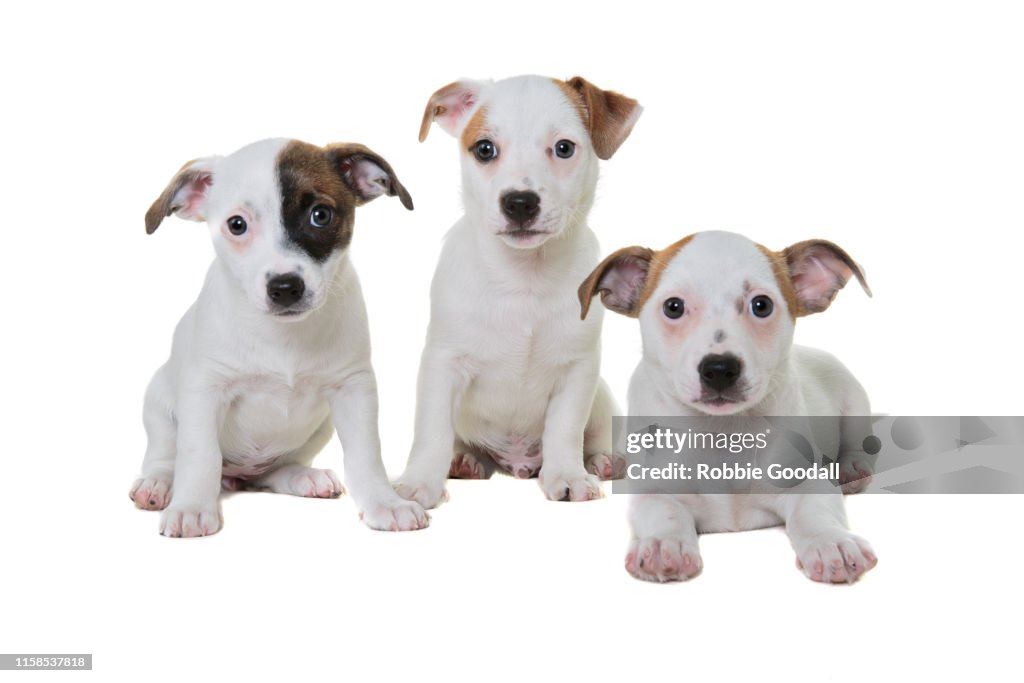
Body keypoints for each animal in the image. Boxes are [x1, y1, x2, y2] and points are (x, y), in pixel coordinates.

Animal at [131, 136, 428, 536]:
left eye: (320, 215)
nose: (285, 287)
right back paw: (157, 485)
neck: (282, 335)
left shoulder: (354, 388)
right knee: (166, 456)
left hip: (318, 428)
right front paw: (191, 506)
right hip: (159, 407)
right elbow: (199, 455)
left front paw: (385, 503)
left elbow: (366, 455)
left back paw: (302, 476)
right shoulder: (205, 390)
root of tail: (236, 475)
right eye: (237, 225)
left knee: (270, 474)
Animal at [395, 77, 643, 509]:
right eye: (484, 149)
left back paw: (602, 460)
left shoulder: (578, 370)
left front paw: (567, 474)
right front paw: (420, 481)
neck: (524, 276)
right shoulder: (442, 364)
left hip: (601, 397)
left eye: (564, 148)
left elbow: (565, 428)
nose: (520, 202)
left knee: (593, 433)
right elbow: (432, 431)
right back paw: (465, 461)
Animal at [581, 232, 876, 585]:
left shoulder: (805, 481)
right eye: (673, 307)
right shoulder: (652, 491)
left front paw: (832, 542)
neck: (722, 431)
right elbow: (664, 510)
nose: (719, 369)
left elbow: (814, 512)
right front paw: (663, 546)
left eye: (761, 305)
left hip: (853, 400)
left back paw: (851, 468)